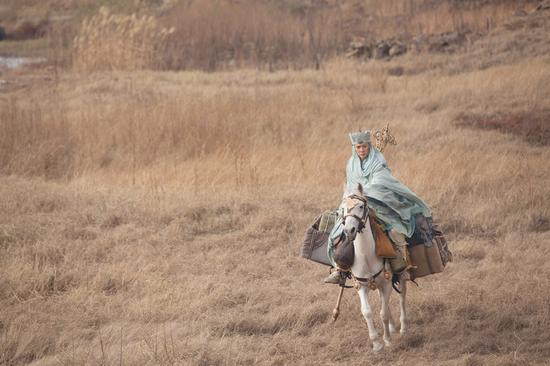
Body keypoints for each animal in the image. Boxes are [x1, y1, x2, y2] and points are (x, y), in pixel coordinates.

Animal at [344, 184, 410, 354]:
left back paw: (403, 328)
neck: (366, 257)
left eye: (361, 206)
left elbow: (383, 313)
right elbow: (367, 312)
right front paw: (377, 344)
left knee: (402, 297)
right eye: (343, 209)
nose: (349, 230)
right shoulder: (361, 287)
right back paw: (393, 327)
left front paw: (387, 340)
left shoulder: (387, 284)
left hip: (401, 276)